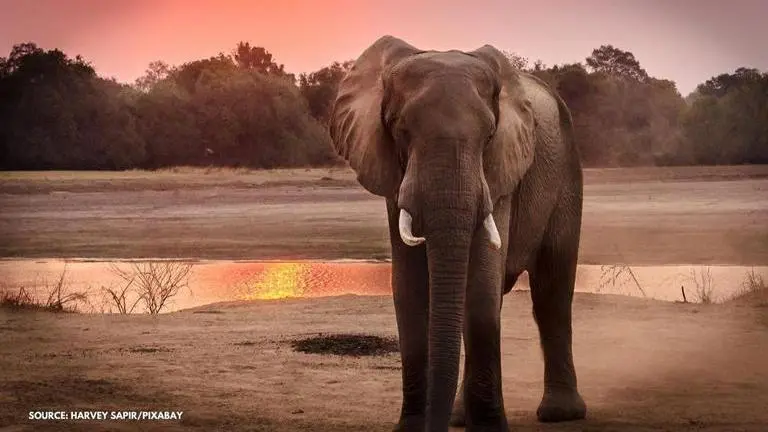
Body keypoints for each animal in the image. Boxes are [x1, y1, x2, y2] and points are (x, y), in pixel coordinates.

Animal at [329, 36, 586, 431]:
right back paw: (460, 417)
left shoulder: (501, 170)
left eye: (490, 135)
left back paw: (561, 413)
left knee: (552, 290)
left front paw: (490, 429)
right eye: (400, 130)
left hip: (567, 174)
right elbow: (410, 289)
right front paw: (412, 428)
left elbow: (480, 286)